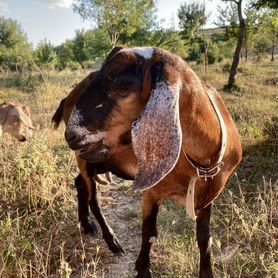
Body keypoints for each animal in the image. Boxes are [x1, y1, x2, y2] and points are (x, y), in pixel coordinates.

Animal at [64, 47, 242, 278]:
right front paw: (143, 269)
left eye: (123, 90)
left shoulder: (207, 197)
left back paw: (86, 225)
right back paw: (112, 241)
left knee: (80, 183)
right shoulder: (152, 193)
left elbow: (205, 239)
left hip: (101, 159)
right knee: (92, 196)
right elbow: (149, 233)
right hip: (86, 159)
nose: (71, 135)